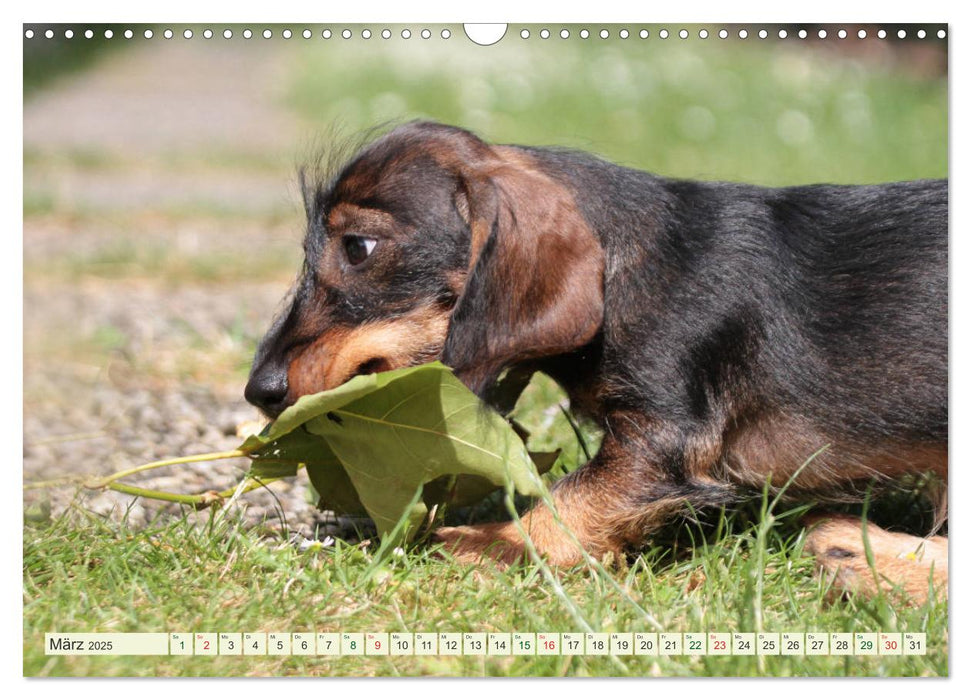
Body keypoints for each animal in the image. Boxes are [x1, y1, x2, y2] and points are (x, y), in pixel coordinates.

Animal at [245, 120, 948, 600]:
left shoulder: (664, 436)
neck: (623, 272)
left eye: (358, 247)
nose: (259, 391)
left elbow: (573, 499)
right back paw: (851, 546)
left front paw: (489, 544)